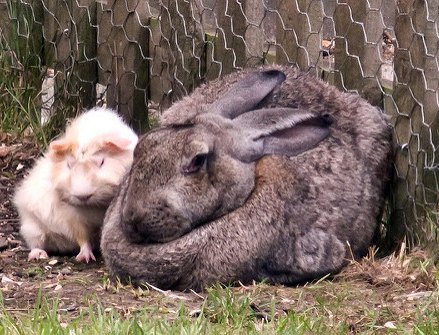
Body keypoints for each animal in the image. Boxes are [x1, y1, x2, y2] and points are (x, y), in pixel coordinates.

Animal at [13, 107, 138, 262]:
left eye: (102, 162)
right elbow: (82, 238)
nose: (83, 196)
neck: (94, 205)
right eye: (69, 164)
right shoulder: (72, 217)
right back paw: (39, 255)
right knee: (36, 244)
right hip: (32, 228)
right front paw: (85, 258)